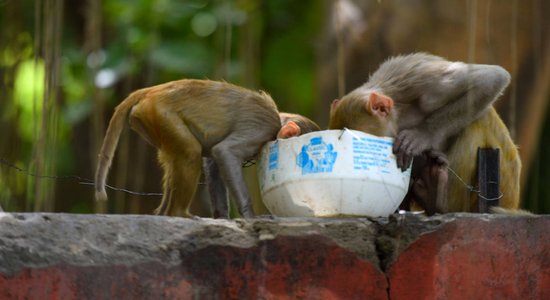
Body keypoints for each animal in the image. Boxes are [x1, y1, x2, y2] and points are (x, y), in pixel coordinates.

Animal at [94, 79, 280, 218]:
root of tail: (152, 91)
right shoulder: (263, 127)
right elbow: (224, 152)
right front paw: (250, 216)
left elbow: (213, 162)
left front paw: (222, 216)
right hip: (161, 114)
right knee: (191, 151)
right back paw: (178, 213)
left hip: (152, 121)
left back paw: (164, 214)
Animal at [330, 53, 524, 213]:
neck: (399, 112)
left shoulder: (424, 82)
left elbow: (491, 78)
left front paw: (422, 136)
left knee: (481, 117)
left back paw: (440, 202)